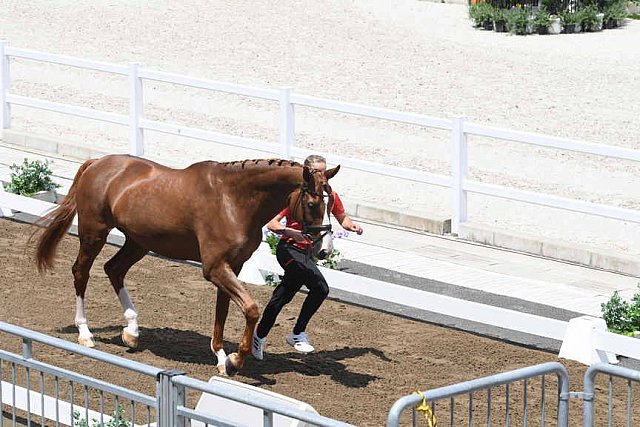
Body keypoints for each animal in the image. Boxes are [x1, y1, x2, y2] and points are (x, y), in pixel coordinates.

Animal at [34, 155, 338, 376]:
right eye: (313, 203)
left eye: (331, 203)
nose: (323, 249)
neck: (233, 200)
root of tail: (97, 162)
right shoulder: (214, 268)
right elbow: (251, 309)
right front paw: (235, 360)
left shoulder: (232, 266)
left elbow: (223, 311)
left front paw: (221, 357)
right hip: (93, 234)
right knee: (81, 273)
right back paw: (85, 333)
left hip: (138, 242)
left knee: (114, 269)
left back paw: (132, 331)